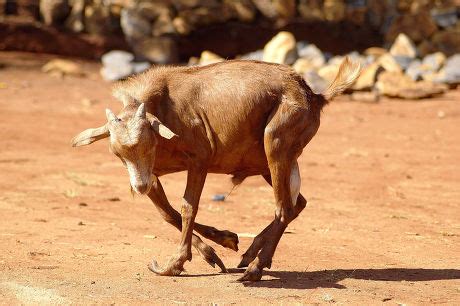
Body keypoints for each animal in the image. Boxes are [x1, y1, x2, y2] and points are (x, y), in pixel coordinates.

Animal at [71, 56, 360, 280]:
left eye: (149, 143)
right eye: (116, 152)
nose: (138, 187)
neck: (163, 106)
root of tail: (315, 96)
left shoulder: (199, 160)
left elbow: (187, 207)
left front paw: (175, 264)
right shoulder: (153, 175)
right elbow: (167, 213)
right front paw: (221, 244)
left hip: (276, 146)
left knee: (284, 208)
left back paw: (255, 269)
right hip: (270, 164)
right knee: (298, 203)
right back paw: (250, 254)